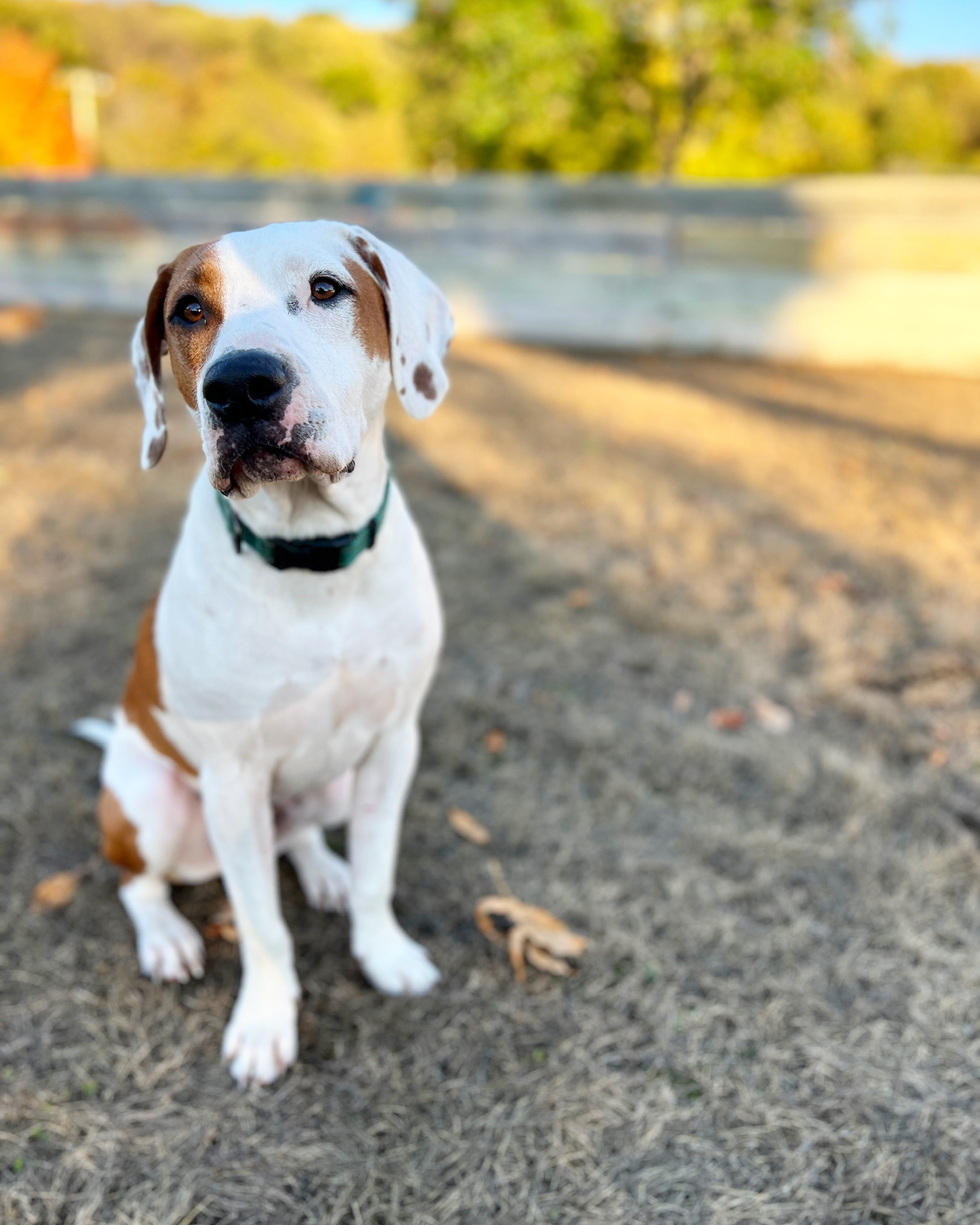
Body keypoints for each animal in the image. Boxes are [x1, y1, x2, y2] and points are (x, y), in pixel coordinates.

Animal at [85, 220, 453, 1086]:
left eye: (326, 289)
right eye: (189, 310)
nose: (241, 386)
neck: (312, 557)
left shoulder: (393, 744)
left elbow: (380, 873)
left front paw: (384, 951)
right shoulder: (231, 782)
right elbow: (260, 923)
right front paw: (263, 1022)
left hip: (331, 783)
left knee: (299, 832)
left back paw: (324, 871)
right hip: (154, 805)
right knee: (136, 880)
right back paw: (168, 938)